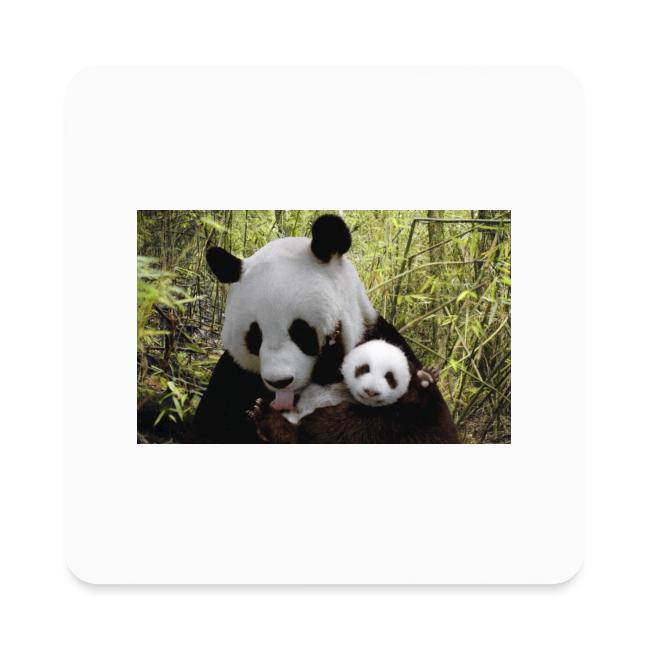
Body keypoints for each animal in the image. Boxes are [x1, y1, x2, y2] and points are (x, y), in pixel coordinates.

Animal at [248, 339, 456, 444]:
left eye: (390, 377)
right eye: (364, 368)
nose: (371, 391)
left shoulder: (384, 423)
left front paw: (425, 379)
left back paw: (264, 414)